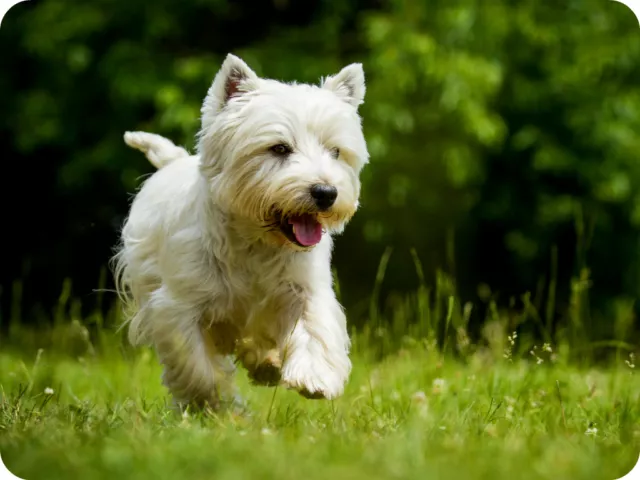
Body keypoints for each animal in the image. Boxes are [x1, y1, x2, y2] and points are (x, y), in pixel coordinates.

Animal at [112, 53, 368, 408]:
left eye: (335, 151)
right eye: (279, 148)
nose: (326, 192)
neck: (256, 241)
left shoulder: (305, 288)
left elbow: (316, 326)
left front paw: (314, 378)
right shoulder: (178, 305)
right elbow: (197, 366)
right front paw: (218, 404)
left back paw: (268, 365)